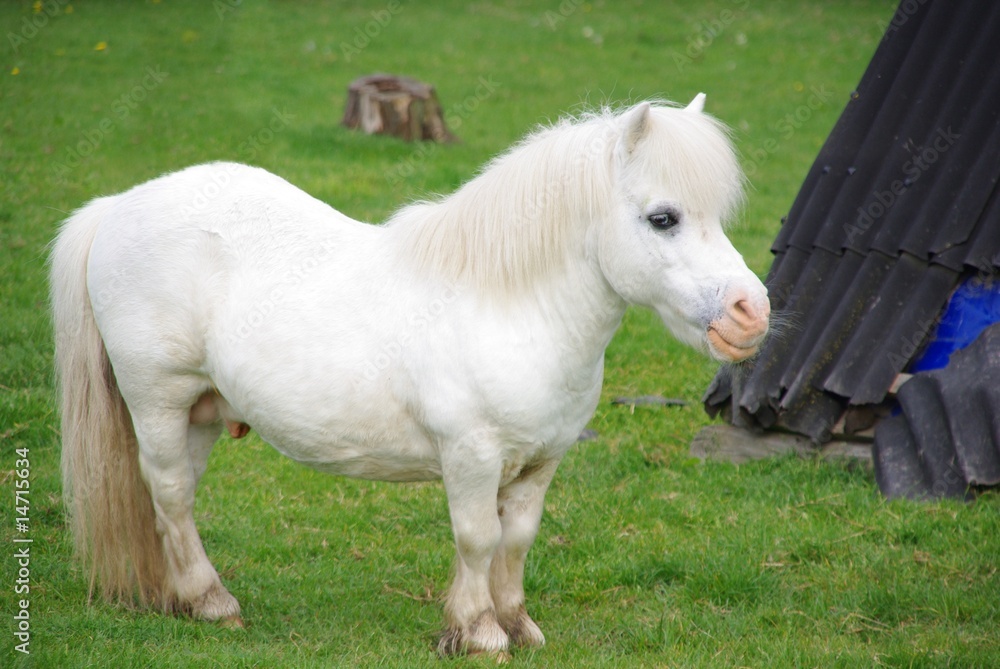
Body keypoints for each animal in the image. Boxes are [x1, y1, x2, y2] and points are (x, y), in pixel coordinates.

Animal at [50, 95, 769, 657]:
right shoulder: (471, 457)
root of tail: (117, 205)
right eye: (663, 218)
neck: (509, 306)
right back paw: (213, 602)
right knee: (170, 492)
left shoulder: (541, 463)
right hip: (159, 401)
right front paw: (479, 633)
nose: (751, 312)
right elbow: (478, 539)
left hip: (201, 410)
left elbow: (516, 541)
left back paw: (179, 596)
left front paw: (518, 625)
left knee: (175, 502)